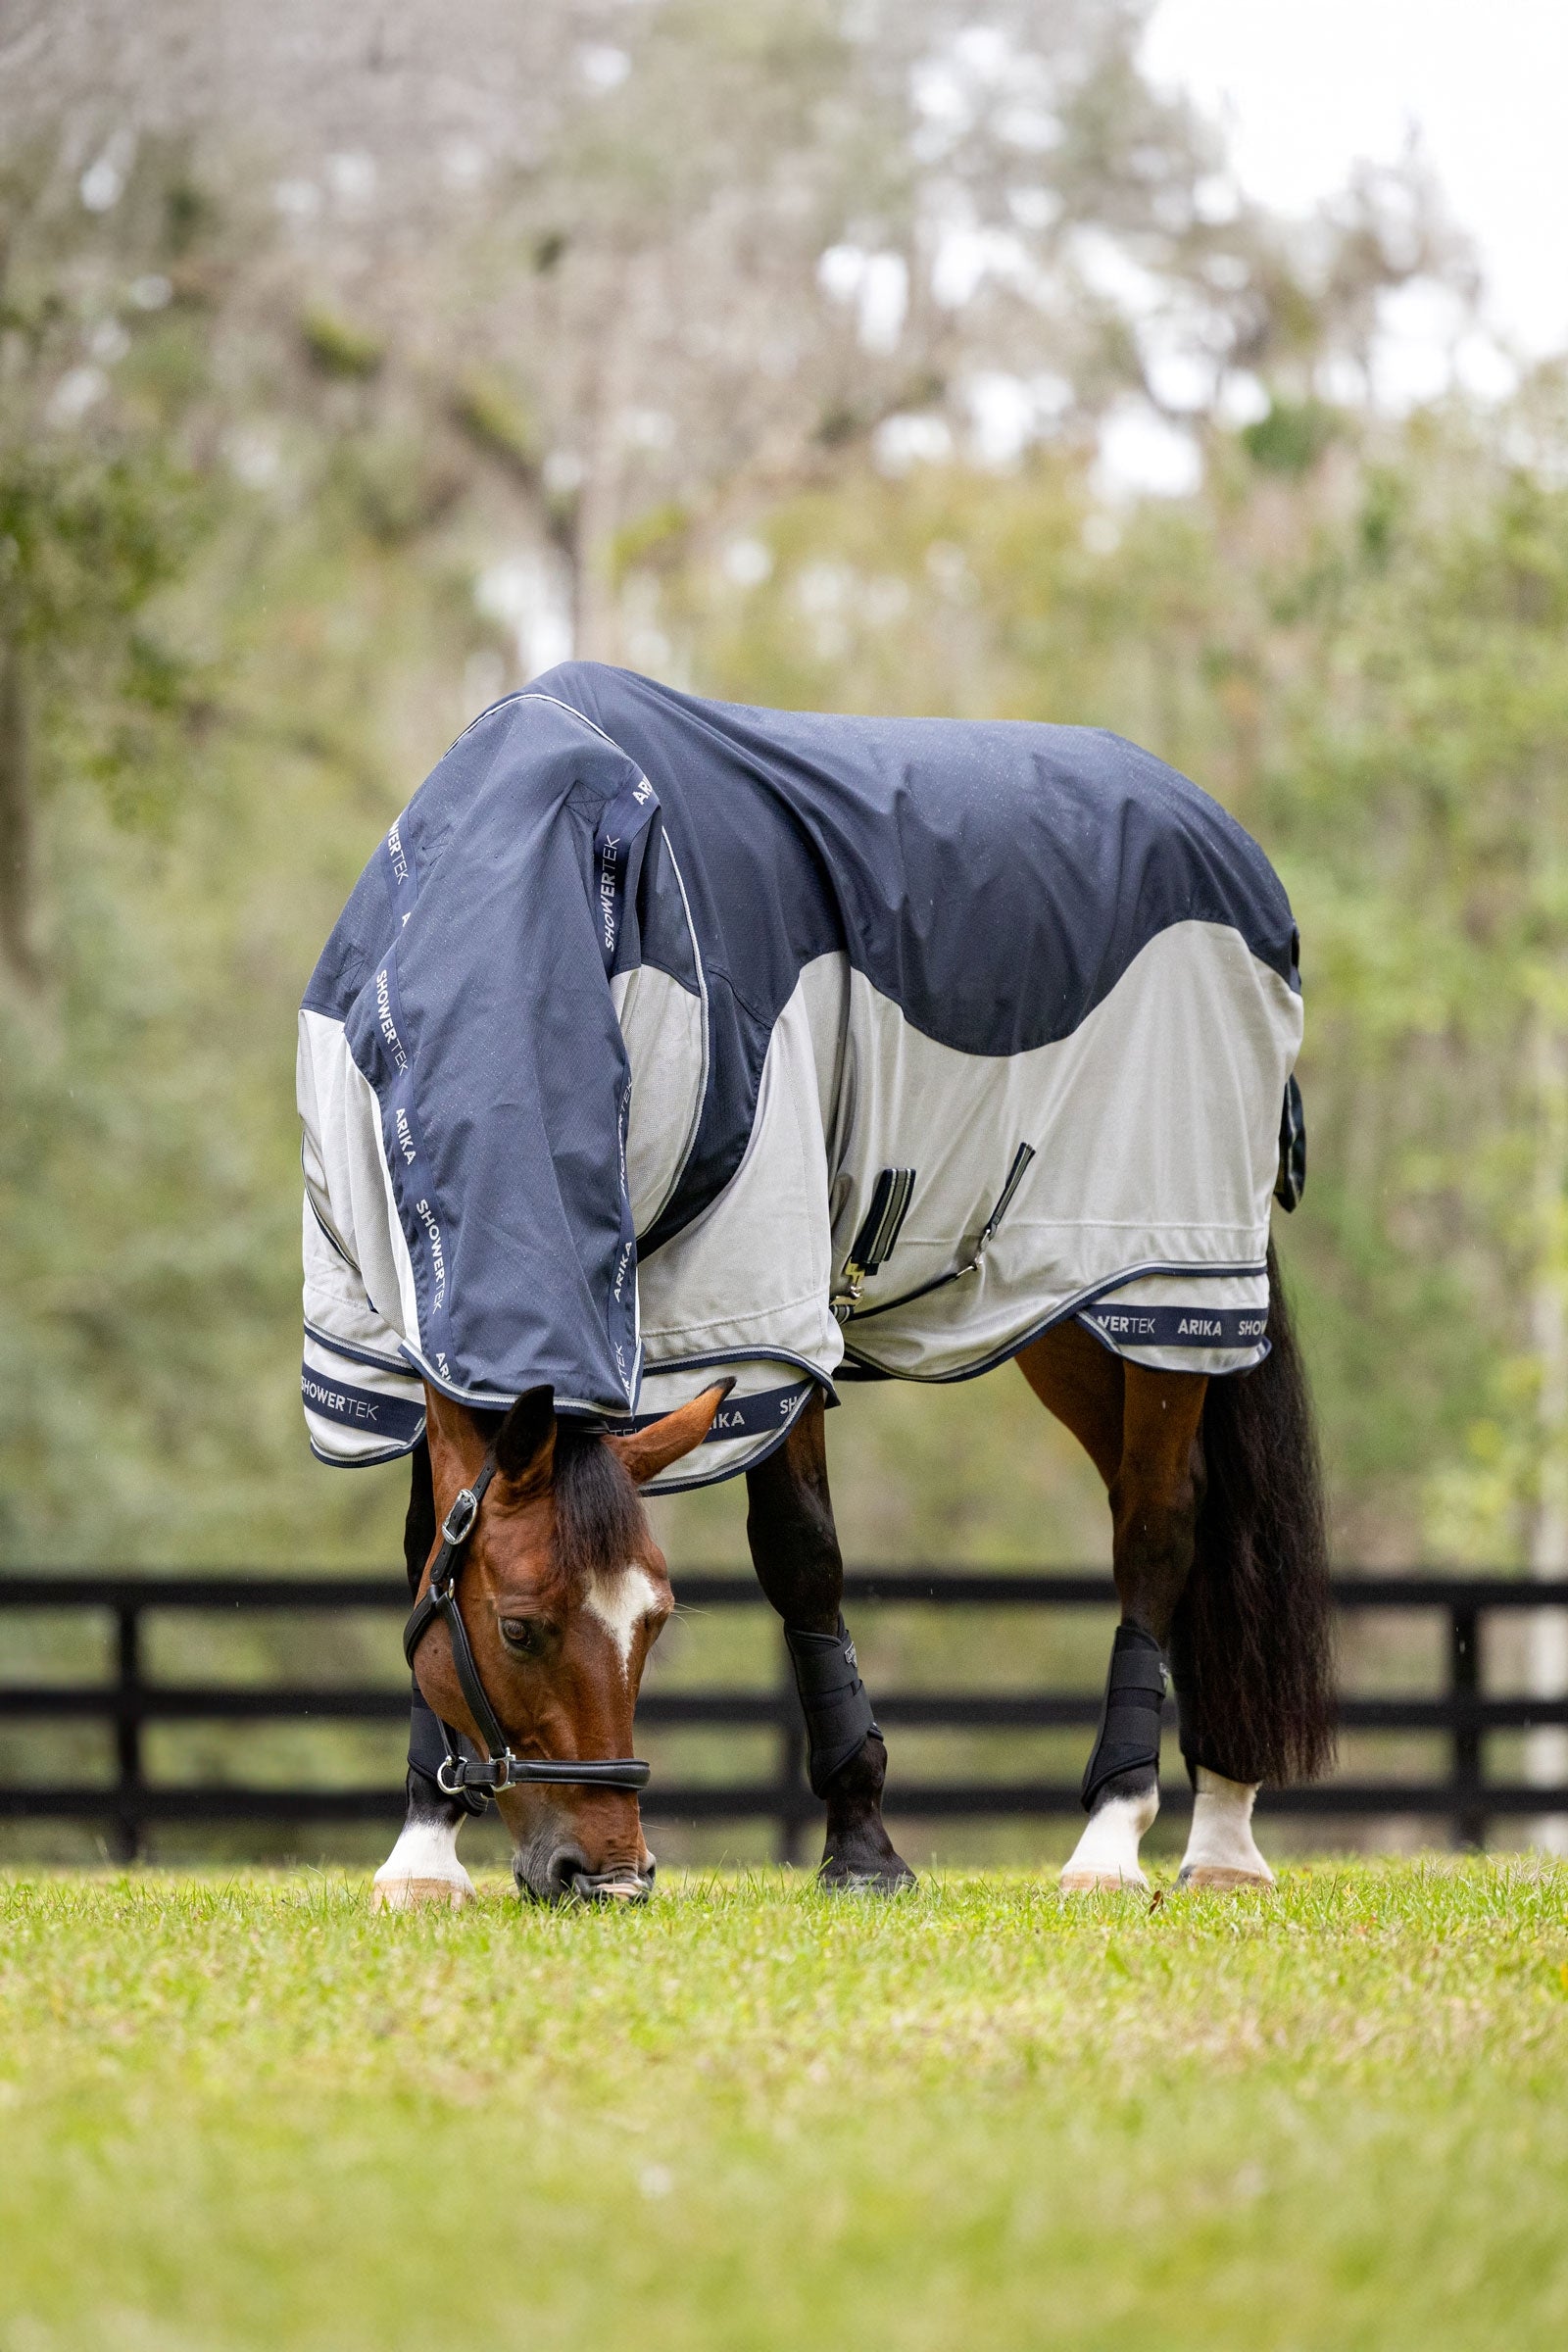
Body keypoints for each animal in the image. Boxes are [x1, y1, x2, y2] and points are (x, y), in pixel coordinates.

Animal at [296, 661, 1335, 1904]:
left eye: (653, 1624)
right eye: (519, 1629)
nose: (607, 1874)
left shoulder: (761, 1321)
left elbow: (802, 1559)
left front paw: (863, 1844)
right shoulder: (392, 1343)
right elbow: (425, 1553)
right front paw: (420, 1851)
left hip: (1171, 1288)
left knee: (1160, 1530)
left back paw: (1121, 1837)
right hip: (1072, 1321)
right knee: (1193, 1519)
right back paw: (1220, 1835)